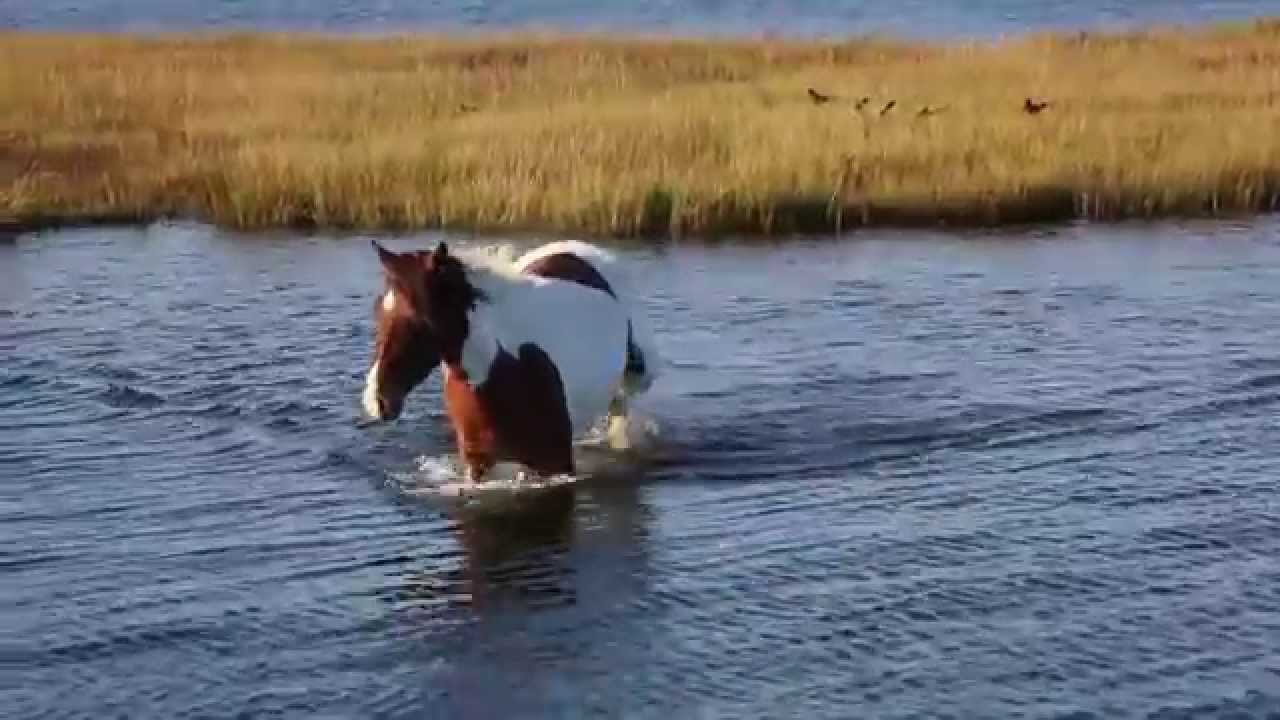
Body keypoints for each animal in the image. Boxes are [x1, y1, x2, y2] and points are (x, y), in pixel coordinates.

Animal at [360, 239, 660, 483]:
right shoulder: (480, 466)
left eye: (418, 321)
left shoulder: (556, 462)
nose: (377, 400)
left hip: (637, 379)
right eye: (379, 311)